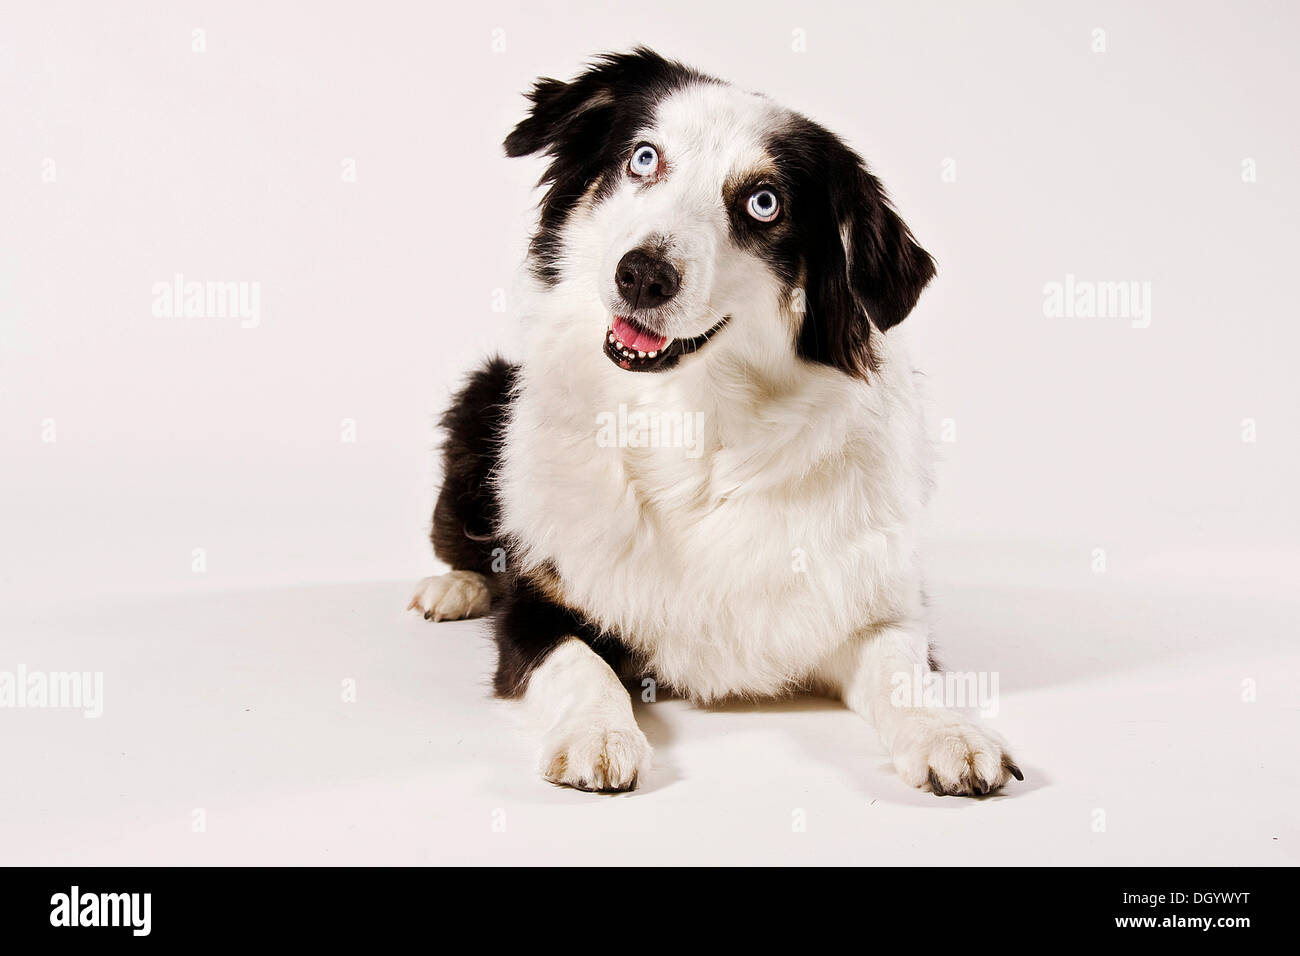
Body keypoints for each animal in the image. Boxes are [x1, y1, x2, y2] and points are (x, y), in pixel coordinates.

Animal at [410, 50, 1019, 801]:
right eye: (644, 157)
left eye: (764, 203)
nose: (642, 274)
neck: (691, 422)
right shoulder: (541, 602)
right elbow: (579, 663)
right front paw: (597, 734)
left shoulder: (870, 601)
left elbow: (903, 671)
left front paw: (950, 734)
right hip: (482, 399)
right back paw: (455, 588)